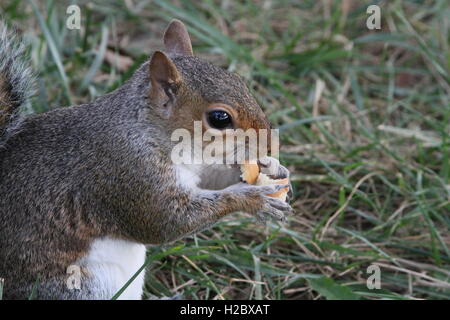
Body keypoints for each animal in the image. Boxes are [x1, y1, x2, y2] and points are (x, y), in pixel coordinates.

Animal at [0, 19, 292, 300]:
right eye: (220, 118)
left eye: (239, 81)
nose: (271, 142)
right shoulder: (129, 175)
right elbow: (167, 222)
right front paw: (253, 198)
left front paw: (270, 166)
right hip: (79, 285)